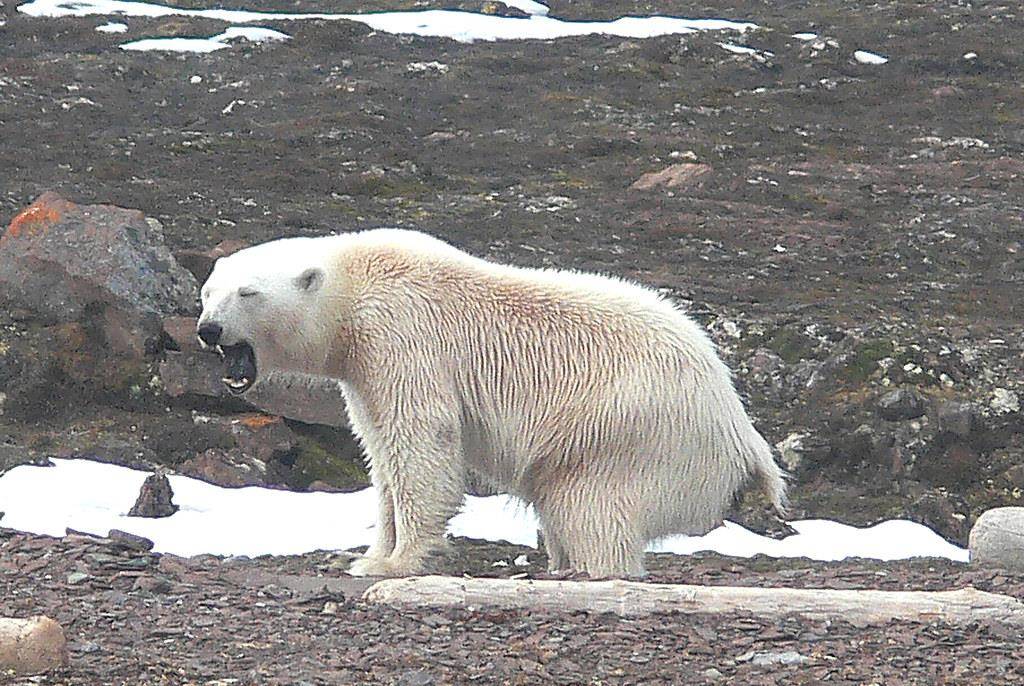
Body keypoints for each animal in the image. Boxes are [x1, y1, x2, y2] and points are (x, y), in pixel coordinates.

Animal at [195, 231, 786, 581]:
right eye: (208, 291)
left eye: (247, 293)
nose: (207, 330)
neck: (355, 285)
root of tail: (741, 430)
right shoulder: (362, 369)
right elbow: (382, 454)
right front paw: (369, 556)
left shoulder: (402, 336)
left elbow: (422, 440)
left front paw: (399, 562)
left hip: (630, 429)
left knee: (591, 506)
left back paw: (586, 571)